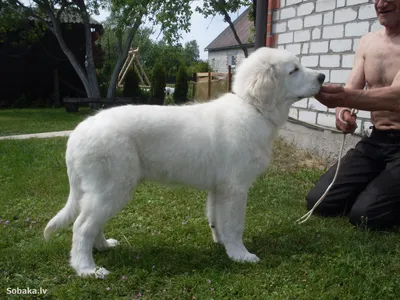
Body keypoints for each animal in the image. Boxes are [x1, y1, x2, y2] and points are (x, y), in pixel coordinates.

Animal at [43, 46, 324, 276]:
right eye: (294, 70)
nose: (322, 77)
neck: (253, 108)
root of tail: (77, 133)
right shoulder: (235, 187)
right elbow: (235, 224)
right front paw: (241, 255)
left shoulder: (220, 187)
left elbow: (217, 218)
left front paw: (222, 244)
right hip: (113, 186)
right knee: (81, 227)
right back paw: (87, 269)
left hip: (103, 190)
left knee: (92, 223)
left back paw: (102, 246)